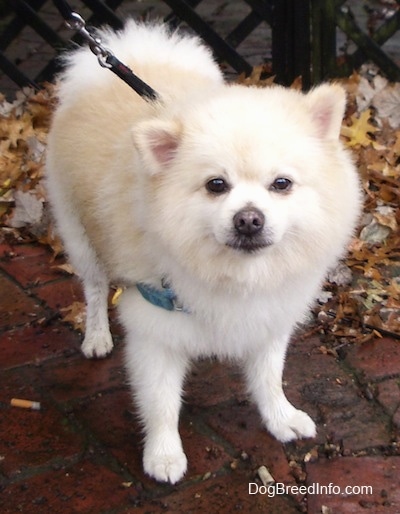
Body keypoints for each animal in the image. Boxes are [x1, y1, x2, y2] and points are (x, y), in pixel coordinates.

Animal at [45, 20, 360, 482]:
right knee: (96, 287)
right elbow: (160, 401)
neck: (233, 274)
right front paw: (163, 454)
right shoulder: (153, 325)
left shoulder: (270, 313)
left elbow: (269, 376)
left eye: (281, 184)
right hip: (80, 233)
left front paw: (280, 417)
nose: (249, 219)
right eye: (216, 185)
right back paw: (97, 335)